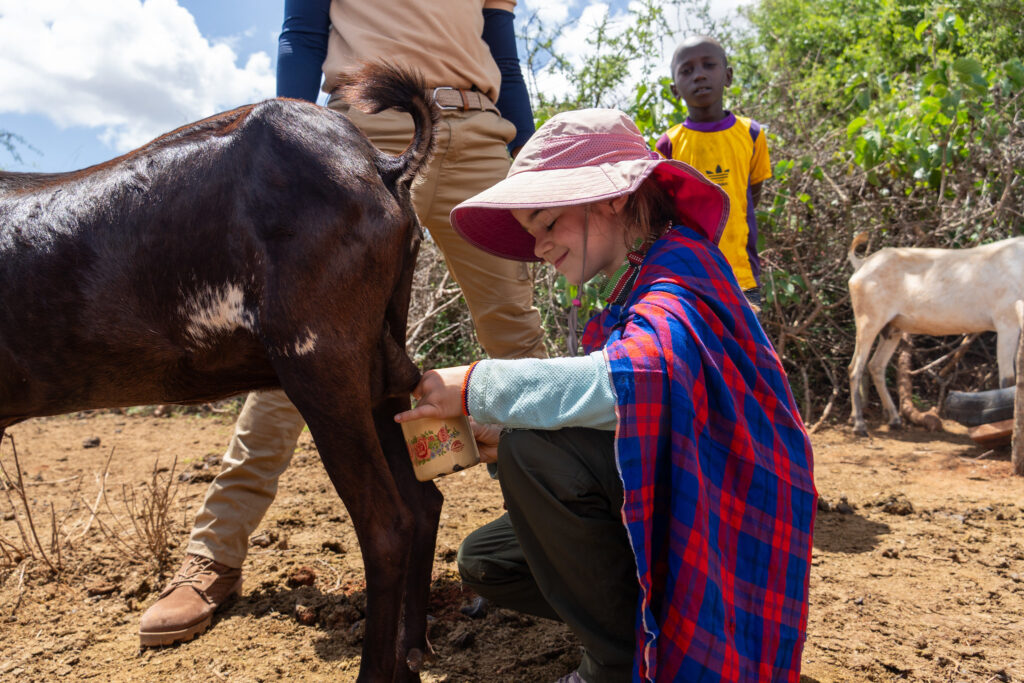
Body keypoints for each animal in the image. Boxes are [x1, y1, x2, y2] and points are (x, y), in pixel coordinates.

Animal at [0, 62, 443, 682]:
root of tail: (380, 165)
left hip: (321, 366)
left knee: (388, 525)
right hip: (378, 371)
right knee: (423, 504)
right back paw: (412, 652)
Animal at [847, 231, 1024, 437]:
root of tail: (862, 264)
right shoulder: (1007, 324)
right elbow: (1008, 381)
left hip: (893, 330)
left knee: (876, 366)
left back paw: (894, 420)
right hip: (869, 322)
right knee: (855, 368)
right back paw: (859, 424)